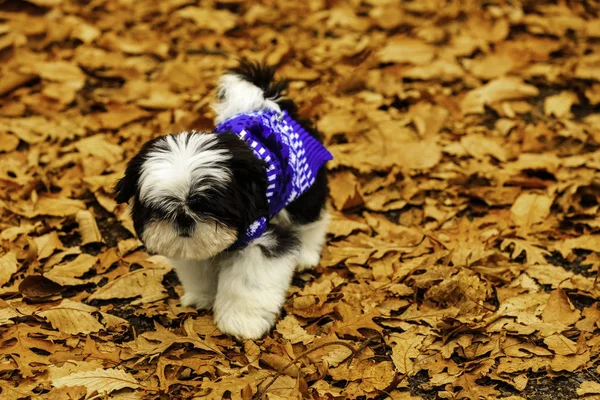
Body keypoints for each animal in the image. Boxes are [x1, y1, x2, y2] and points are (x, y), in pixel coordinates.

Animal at [113, 61, 332, 340]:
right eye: (160, 210)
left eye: (209, 206)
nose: (184, 219)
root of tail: (267, 104)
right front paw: (203, 296)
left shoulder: (261, 238)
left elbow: (248, 283)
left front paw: (242, 322)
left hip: (302, 189)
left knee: (312, 220)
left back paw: (306, 254)